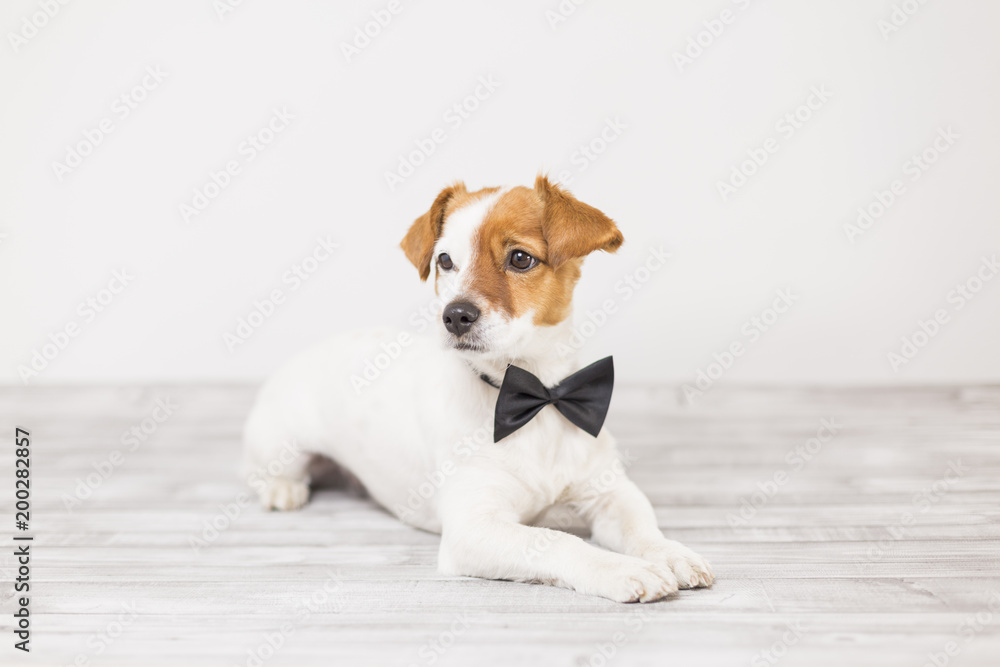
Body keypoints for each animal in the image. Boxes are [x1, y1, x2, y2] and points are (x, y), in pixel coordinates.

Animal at [241, 175, 712, 604]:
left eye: (520, 258)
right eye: (445, 260)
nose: (454, 316)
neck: (535, 397)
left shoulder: (609, 491)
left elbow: (642, 526)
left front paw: (670, 553)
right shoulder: (474, 529)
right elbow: (559, 541)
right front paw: (620, 569)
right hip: (281, 443)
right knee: (267, 469)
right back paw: (282, 489)